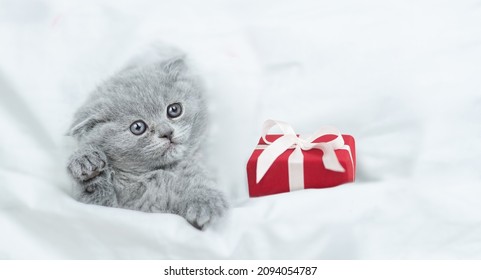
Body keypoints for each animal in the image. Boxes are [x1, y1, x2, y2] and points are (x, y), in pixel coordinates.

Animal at [66, 53, 229, 230]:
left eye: (174, 110)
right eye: (138, 127)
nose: (167, 132)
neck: (155, 172)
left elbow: (199, 180)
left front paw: (204, 203)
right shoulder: (114, 207)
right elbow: (95, 199)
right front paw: (86, 163)